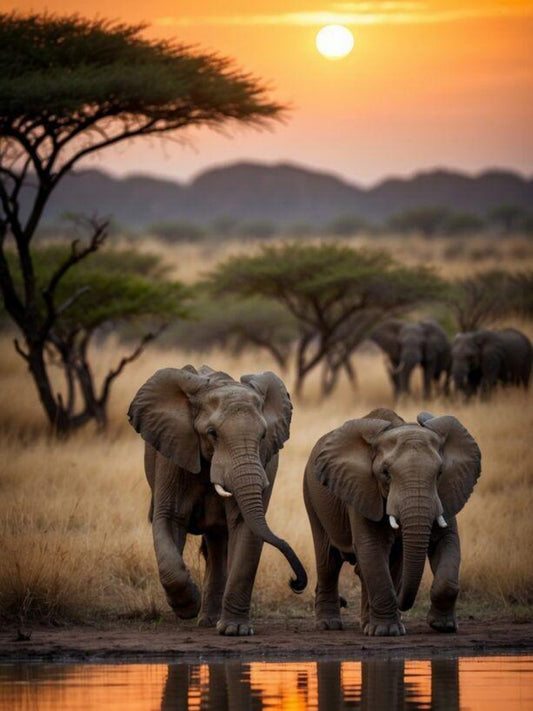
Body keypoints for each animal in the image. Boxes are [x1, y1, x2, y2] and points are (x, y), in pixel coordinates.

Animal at [128, 365, 307, 636]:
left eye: (263, 435)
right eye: (212, 433)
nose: (295, 582)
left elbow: (245, 528)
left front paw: (235, 630)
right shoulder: (172, 455)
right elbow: (168, 521)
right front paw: (188, 605)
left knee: (217, 543)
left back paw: (211, 621)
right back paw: (204, 618)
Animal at [303, 407, 481, 636]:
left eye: (440, 472)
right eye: (385, 473)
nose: (403, 604)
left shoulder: (446, 491)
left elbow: (447, 541)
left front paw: (444, 626)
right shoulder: (362, 489)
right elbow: (371, 547)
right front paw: (386, 631)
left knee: (388, 563)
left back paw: (366, 623)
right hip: (311, 497)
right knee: (328, 561)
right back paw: (329, 625)